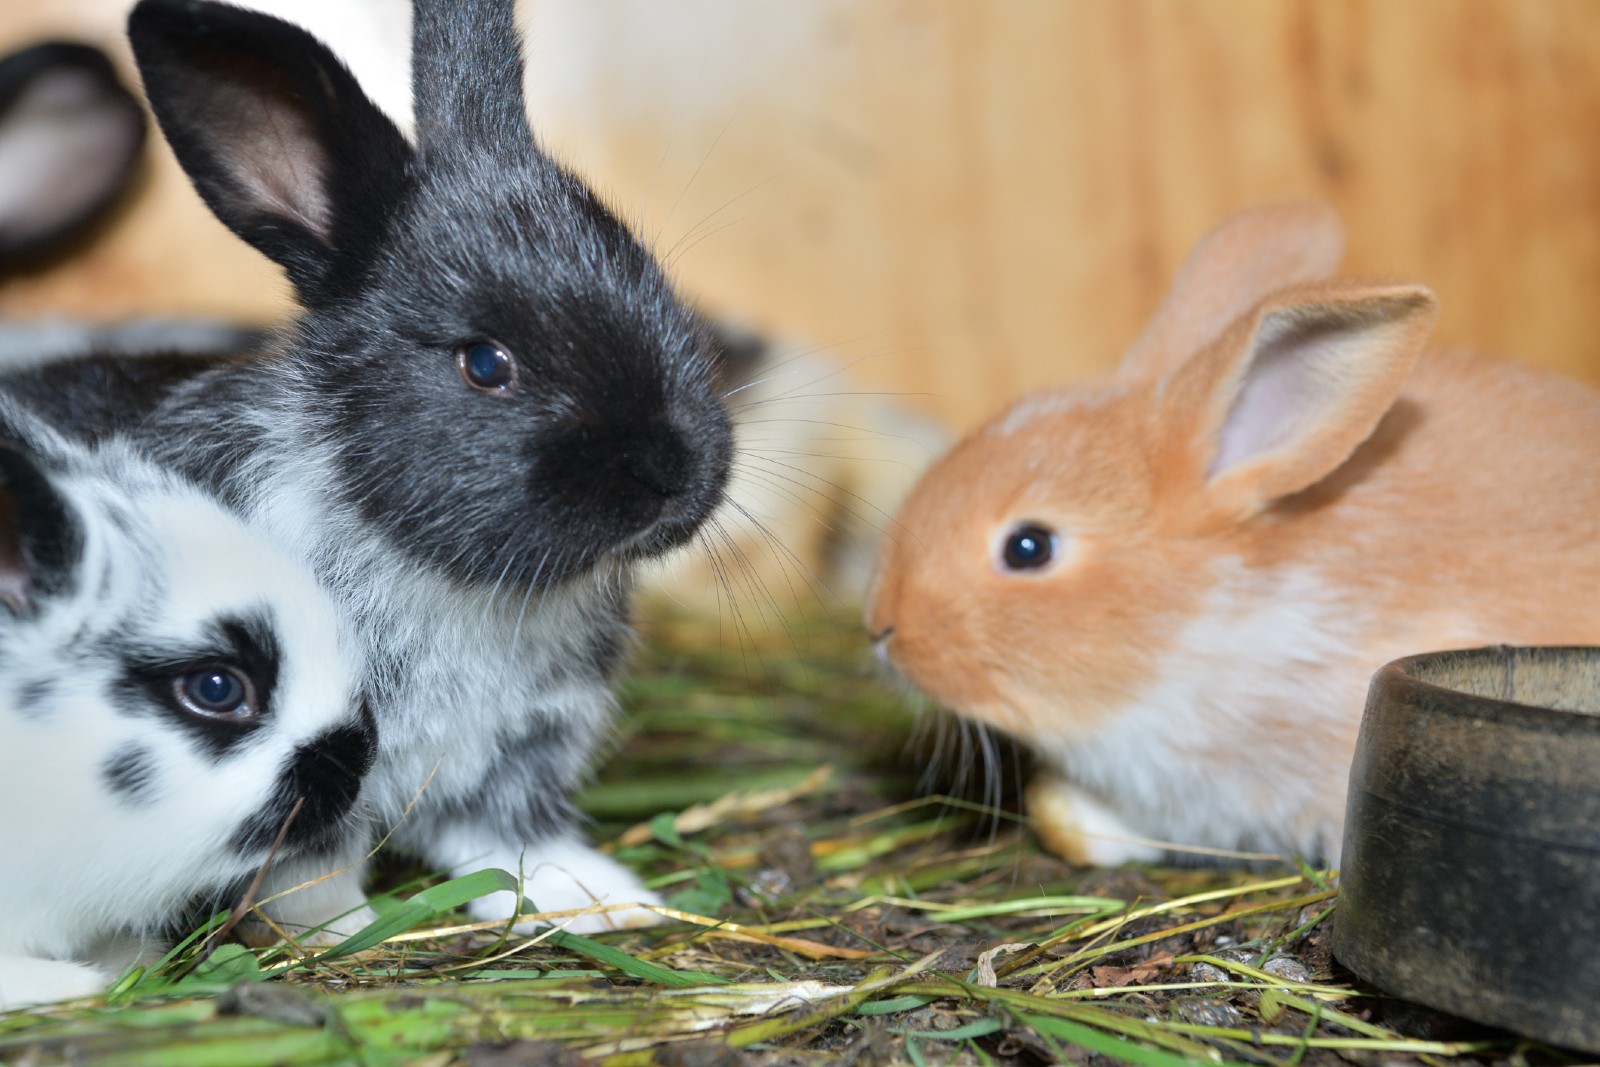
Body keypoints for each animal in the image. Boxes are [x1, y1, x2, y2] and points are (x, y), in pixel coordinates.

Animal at [2, 0, 731, 936]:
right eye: (486, 363)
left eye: (658, 290)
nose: (674, 475)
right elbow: (308, 861)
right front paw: (341, 927)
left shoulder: (519, 754)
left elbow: (516, 841)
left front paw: (599, 900)